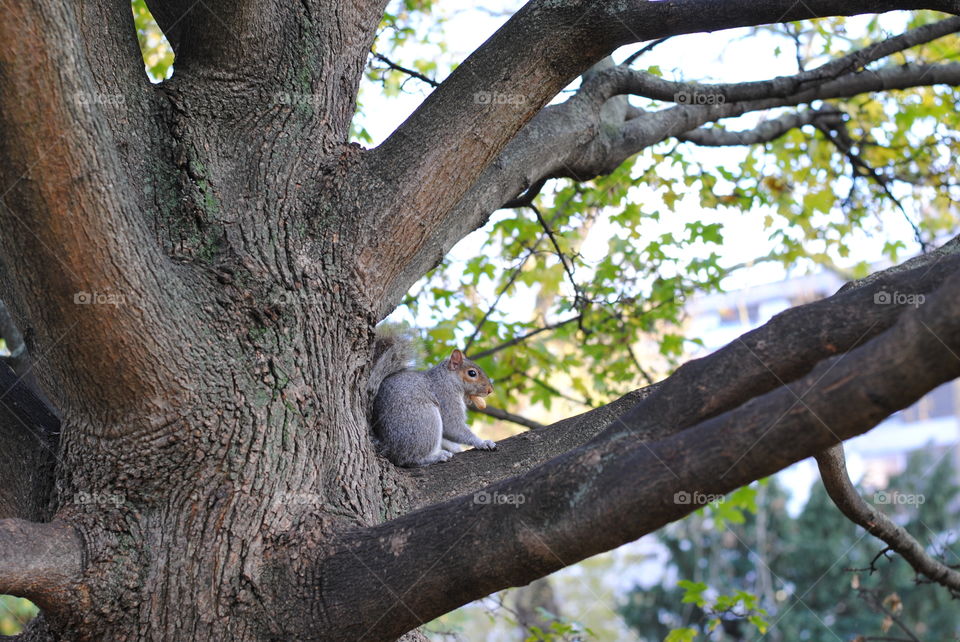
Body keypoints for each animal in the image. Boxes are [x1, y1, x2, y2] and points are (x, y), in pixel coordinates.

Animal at [367, 328, 496, 467]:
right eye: (472, 373)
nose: (490, 390)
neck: (447, 378)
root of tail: (387, 446)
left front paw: (455, 447)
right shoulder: (446, 396)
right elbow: (452, 426)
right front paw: (482, 442)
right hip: (425, 421)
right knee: (408, 458)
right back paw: (436, 457)